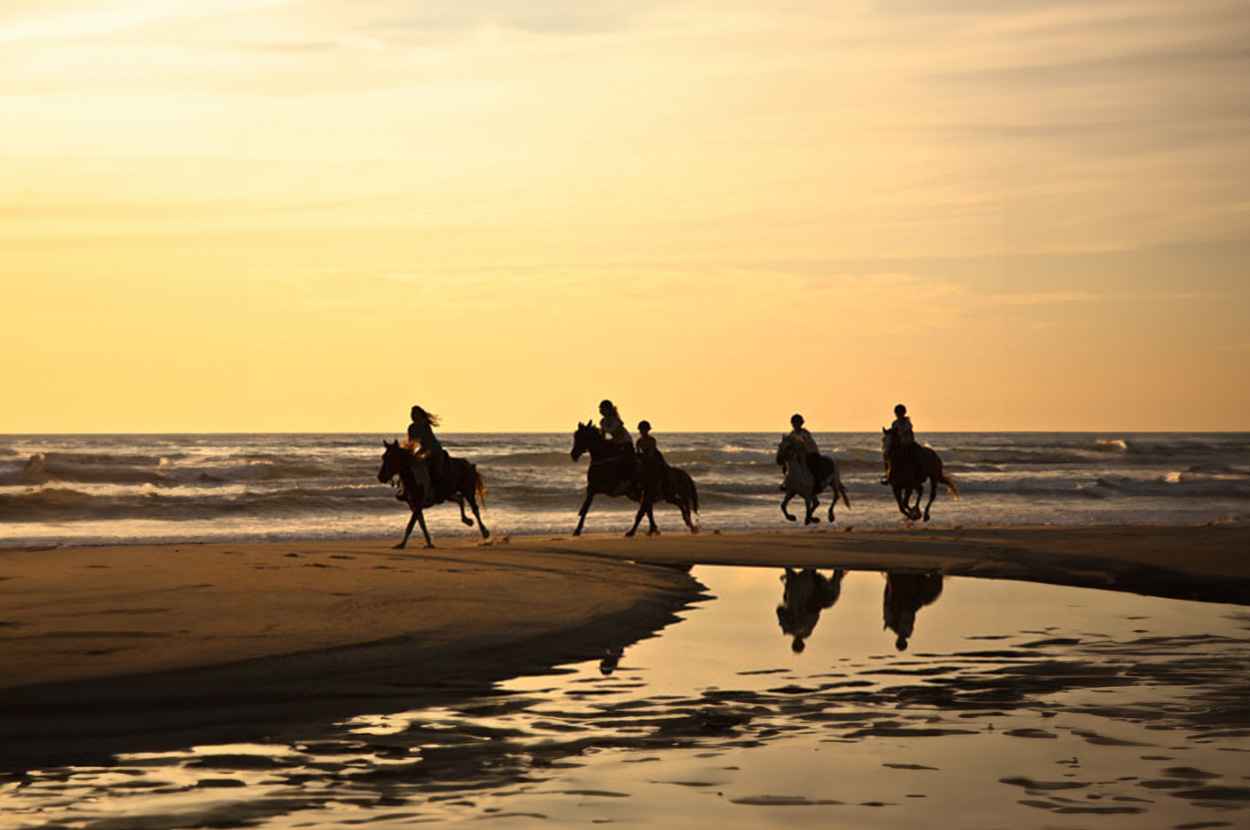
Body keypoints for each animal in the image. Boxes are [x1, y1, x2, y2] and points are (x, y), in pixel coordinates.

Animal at [572, 422, 700, 537]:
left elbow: (587, 506)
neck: (605, 458)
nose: (573, 454)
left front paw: (577, 529)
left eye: (580, 437)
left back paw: (632, 532)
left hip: (658, 492)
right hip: (659, 494)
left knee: (648, 510)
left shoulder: (605, 488)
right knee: (667, 506)